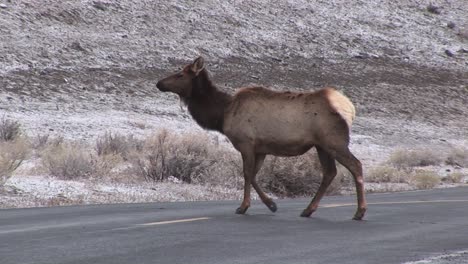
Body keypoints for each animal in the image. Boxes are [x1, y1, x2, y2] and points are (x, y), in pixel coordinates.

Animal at [155, 56, 368, 220]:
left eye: (180, 74)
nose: (158, 83)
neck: (222, 114)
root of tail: (350, 108)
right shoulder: (261, 148)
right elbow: (254, 175)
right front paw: (271, 204)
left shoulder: (246, 143)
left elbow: (247, 174)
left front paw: (246, 206)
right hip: (321, 145)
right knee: (330, 172)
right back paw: (308, 210)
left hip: (334, 141)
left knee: (355, 165)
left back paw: (359, 212)